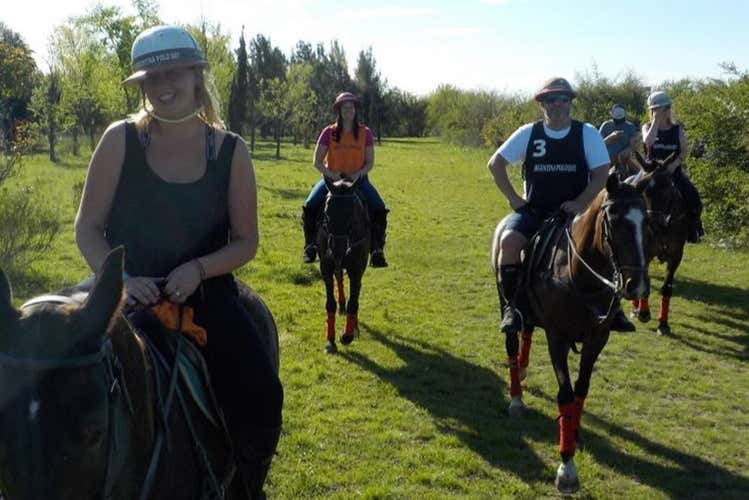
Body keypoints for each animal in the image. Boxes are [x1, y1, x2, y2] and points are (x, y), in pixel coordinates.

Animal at [316, 177, 370, 354]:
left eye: (352, 214)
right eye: (326, 213)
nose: (338, 248)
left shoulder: (357, 270)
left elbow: (354, 302)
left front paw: (347, 335)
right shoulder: (326, 267)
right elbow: (330, 303)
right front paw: (330, 341)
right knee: (339, 277)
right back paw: (342, 305)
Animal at [491, 173, 652, 494]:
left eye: (646, 220)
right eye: (614, 221)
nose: (637, 285)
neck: (580, 275)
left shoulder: (597, 340)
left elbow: (582, 389)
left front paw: (575, 431)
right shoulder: (558, 338)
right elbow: (565, 394)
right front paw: (566, 465)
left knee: (527, 331)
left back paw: (524, 370)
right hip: (506, 297)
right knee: (513, 341)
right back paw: (516, 398)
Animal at [629, 152, 689, 336]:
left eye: (668, 188)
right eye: (644, 191)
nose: (654, 222)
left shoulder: (676, 255)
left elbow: (667, 288)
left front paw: (663, 323)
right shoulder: (645, 252)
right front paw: (643, 312)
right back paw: (635, 309)